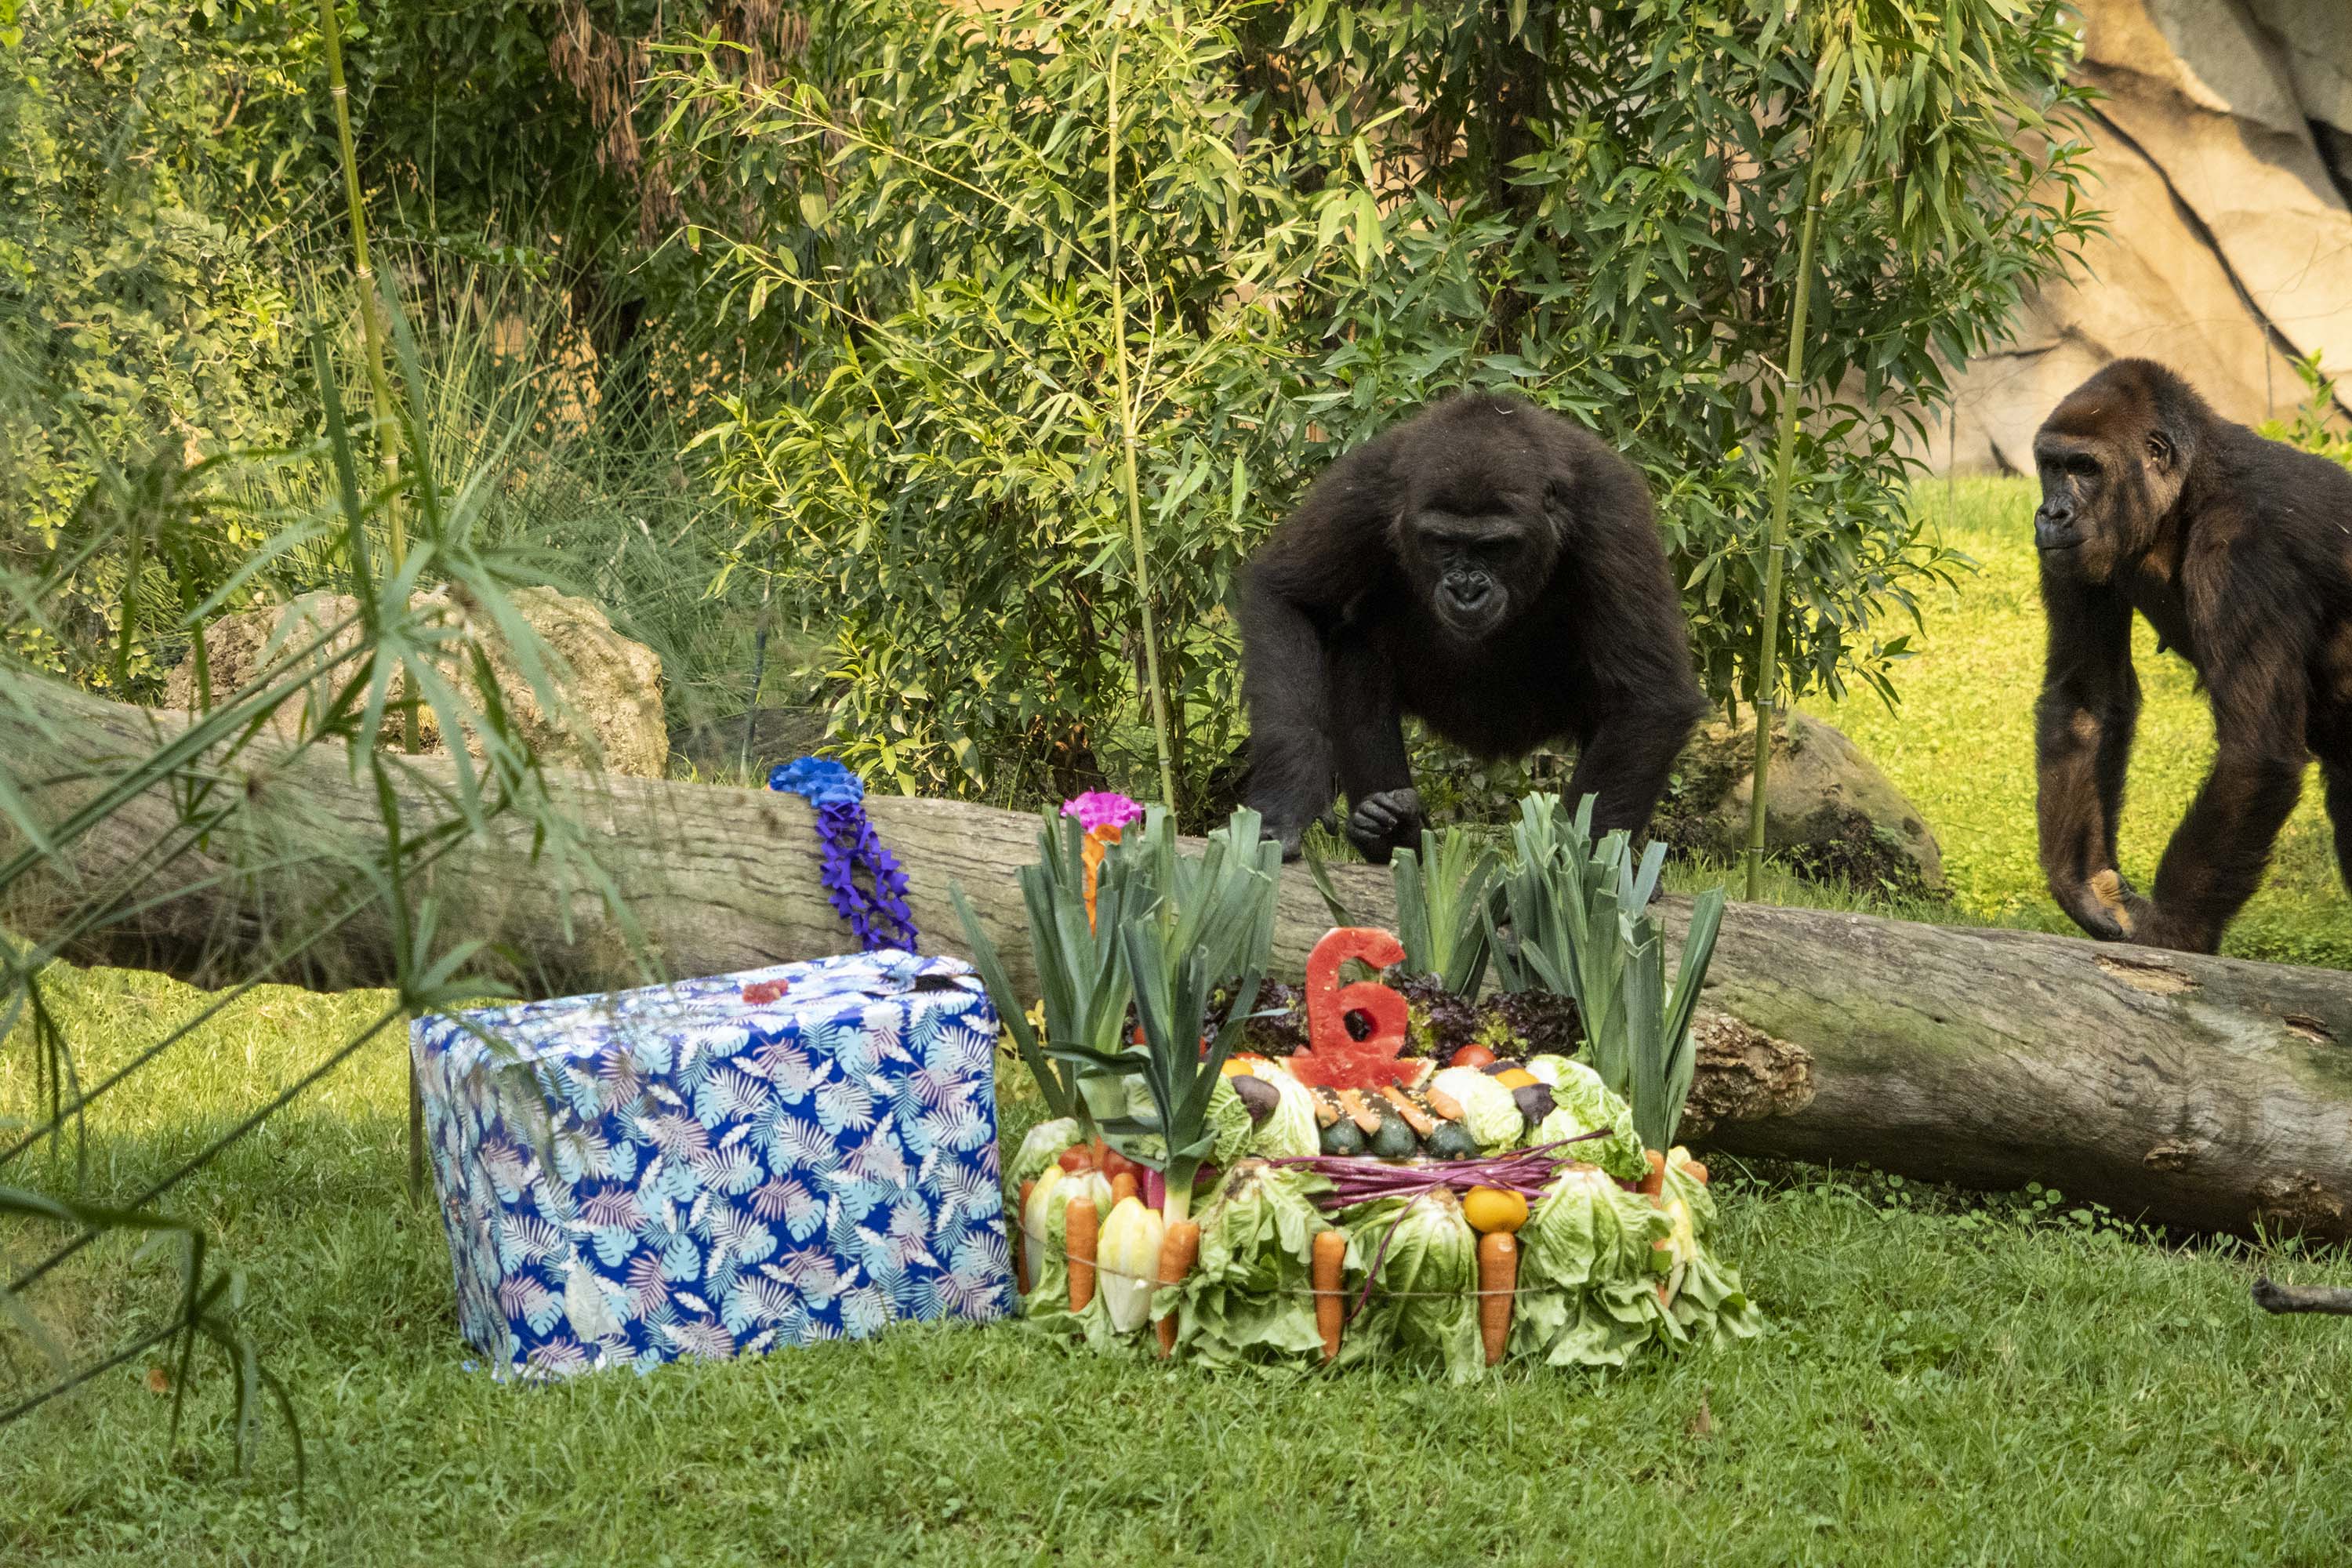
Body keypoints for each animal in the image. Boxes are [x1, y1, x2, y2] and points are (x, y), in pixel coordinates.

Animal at [1242, 390, 1703, 860]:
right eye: (1442, 542)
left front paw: (1581, 863)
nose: (1466, 588)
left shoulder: (1612, 515)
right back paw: (1393, 833)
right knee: (1359, 654)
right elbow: (1289, 599)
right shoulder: (1366, 489)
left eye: (1495, 547)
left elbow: (1647, 698)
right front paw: (1288, 803)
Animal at [2032, 361, 2352, 949]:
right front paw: (2078, 883)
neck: (2188, 490)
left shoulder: (2240, 545)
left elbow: (2254, 754)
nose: (2052, 513)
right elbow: (2086, 700)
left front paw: (2172, 928)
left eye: (2086, 468)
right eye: (2052, 466)